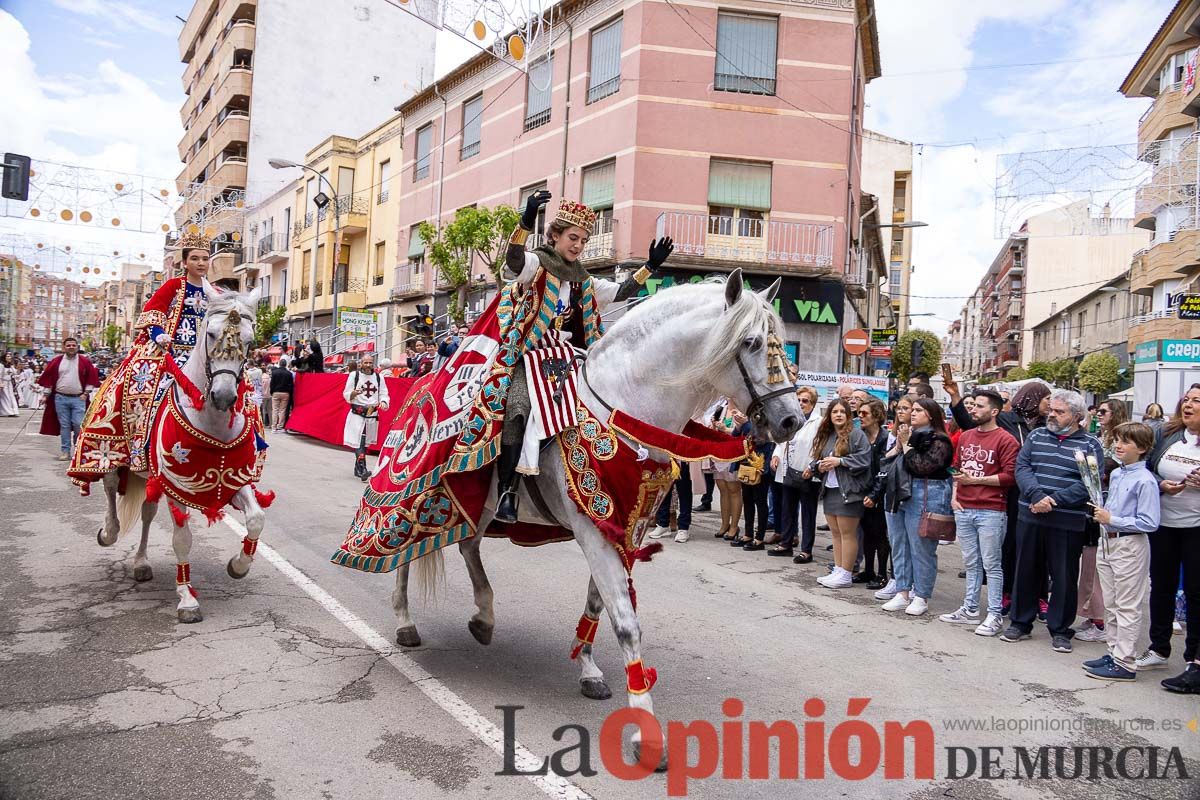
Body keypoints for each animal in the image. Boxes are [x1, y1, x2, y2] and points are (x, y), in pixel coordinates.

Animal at [96, 287, 270, 623]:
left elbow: (256, 519)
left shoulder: (235, 479)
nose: (224, 396)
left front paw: (239, 565)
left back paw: (141, 563)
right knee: (110, 488)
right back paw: (109, 532)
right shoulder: (177, 485)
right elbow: (182, 540)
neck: (212, 423)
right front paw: (187, 599)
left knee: (148, 514)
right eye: (211, 333)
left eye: (250, 339)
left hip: (148, 478)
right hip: (112, 456)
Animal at [396, 272, 806, 762]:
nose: (793, 420)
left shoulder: (622, 526)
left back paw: (484, 617)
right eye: (751, 342)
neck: (624, 408)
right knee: (403, 554)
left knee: (468, 546)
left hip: (478, 506)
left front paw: (589, 670)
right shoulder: (593, 528)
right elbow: (626, 624)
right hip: (422, 497)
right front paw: (646, 732)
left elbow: (598, 602)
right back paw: (405, 622)